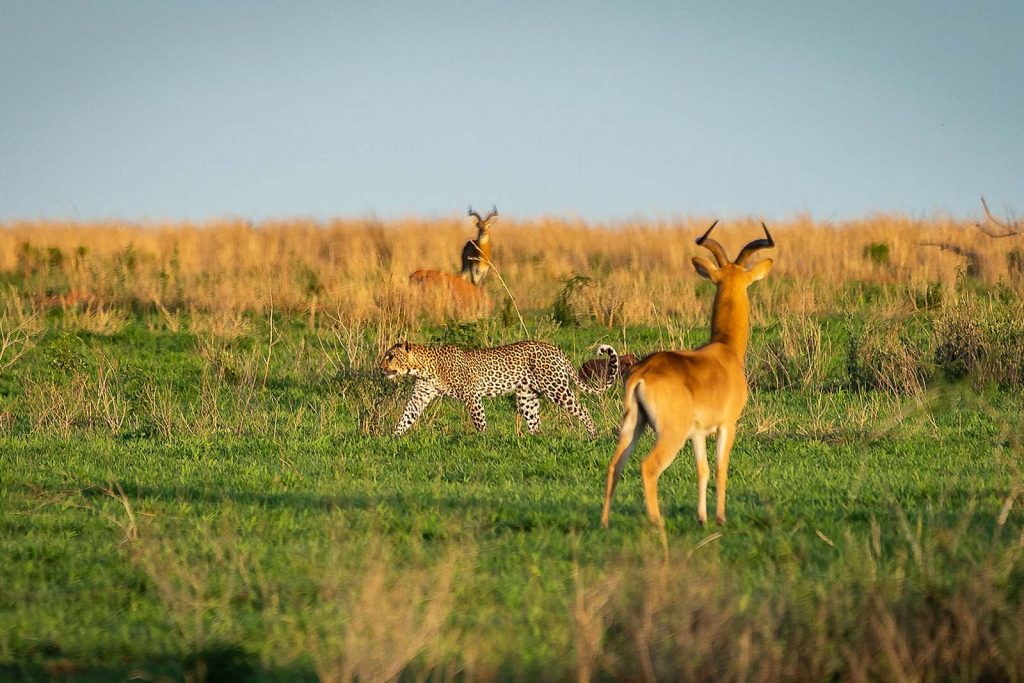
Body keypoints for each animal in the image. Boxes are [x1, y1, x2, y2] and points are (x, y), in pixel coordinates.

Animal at [380, 342, 618, 438]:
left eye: (390, 357)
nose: (380, 367)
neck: (423, 368)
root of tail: (555, 348)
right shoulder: (420, 396)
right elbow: (406, 416)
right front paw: (392, 437)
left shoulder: (472, 396)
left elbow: (479, 421)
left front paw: (483, 440)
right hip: (527, 395)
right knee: (535, 421)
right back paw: (534, 439)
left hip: (556, 387)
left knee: (583, 409)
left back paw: (593, 435)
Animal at [598, 222, 774, 528]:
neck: (725, 350)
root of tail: (643, 372)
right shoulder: (727, 425)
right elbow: (720, 469)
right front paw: (720, 518)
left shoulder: (698, 433)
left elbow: (702, 470)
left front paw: (702, 518)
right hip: (671, 434)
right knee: (648, 467)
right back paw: (657, 522)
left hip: (633, 425)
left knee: (614, 465)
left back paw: (605, 523)